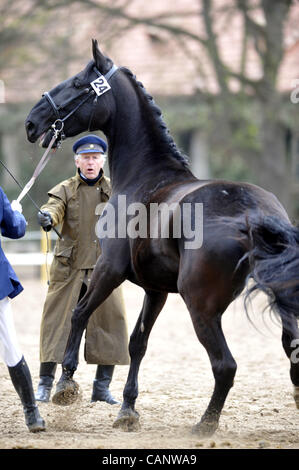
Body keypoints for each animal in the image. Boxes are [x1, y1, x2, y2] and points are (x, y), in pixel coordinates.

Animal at [25, 40, 299, 436]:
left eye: (77, 83)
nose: (32, 122)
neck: (146, 175)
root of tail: (257, 211)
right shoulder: (155, 289)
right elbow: (137, 343)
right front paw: (127, 410)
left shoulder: (109, 270)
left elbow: (79, 315)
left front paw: (66, 386)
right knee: (291, 349)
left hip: (201, 306)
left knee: (225, 365)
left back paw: (205, 424)